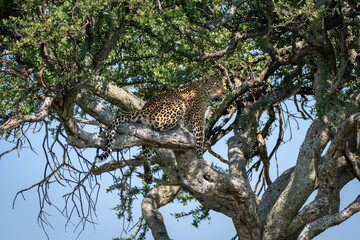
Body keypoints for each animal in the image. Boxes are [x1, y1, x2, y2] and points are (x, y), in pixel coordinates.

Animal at [94, 75, 226, 184]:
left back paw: (147, 173)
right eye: (217, 85)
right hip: (178, 104)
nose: (225, 93)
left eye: (224, 86)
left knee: (146, 148)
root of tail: (146, 108)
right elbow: (199, 142)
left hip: (147, 132)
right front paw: (202, 161)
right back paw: (178, 126)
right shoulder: (196, 122)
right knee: (160, 126)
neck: (204, 93)